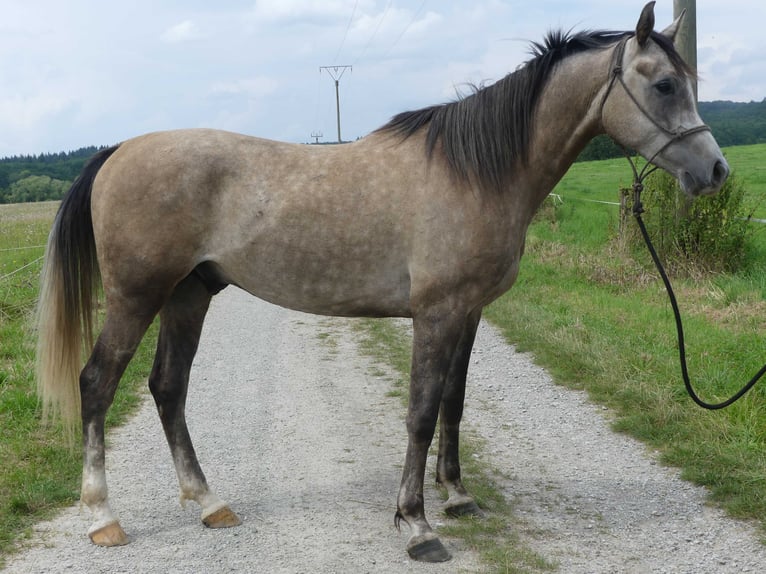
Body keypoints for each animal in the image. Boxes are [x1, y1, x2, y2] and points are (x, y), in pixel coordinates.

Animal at [37, 2, 732, 564]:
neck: (476, 172)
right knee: (98, 384)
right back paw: (103, 517)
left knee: (168, 388)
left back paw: (209, 503)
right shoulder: (438, 313)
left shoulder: (469, 313)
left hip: (189, 295)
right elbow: (420, 413)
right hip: (137, 297)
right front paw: (417, 525)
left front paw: (457, 496)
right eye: (664, 83)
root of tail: (119, 150)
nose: (715, 171)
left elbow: (453, 403)